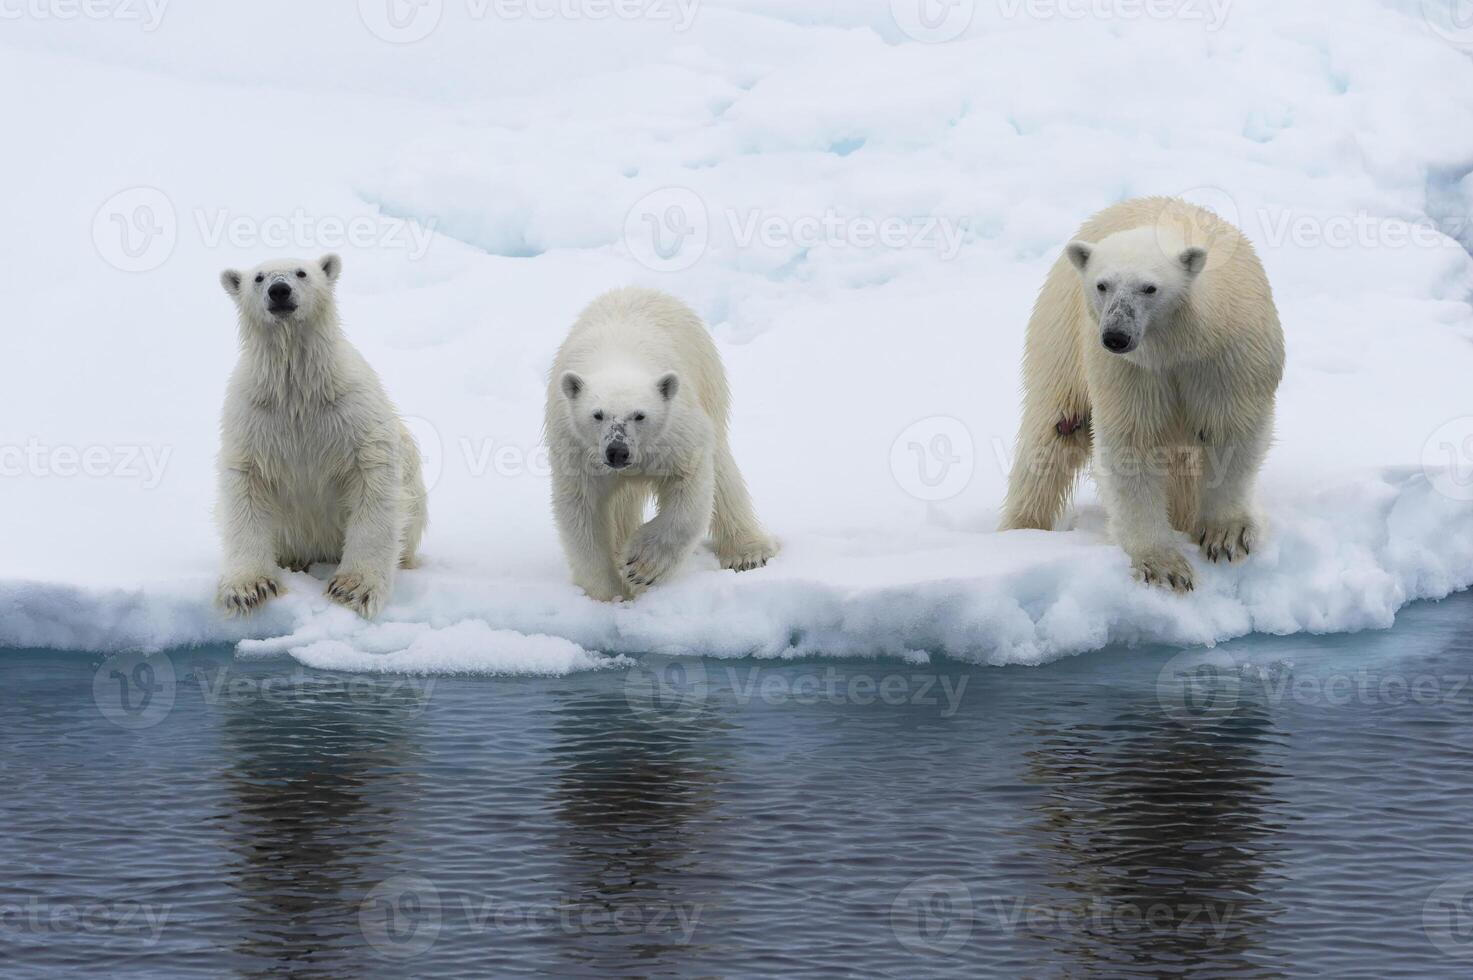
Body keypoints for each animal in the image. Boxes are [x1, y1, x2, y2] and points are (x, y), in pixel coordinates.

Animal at [215, 256, 430, 616]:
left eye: (301, 272)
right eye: (258, 278)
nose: (279, 290)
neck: (297, 390)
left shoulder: (352, 412)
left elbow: (374, 480)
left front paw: (352, 588)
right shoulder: (253, 419)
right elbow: (245, 487)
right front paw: (250, 588)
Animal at [547, 287, 783, 601]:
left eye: (640, 415)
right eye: (597, 414)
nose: (617, 451)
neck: (618, 358)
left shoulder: (675, 432)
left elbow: (690, 486)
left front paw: (640, 566)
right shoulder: (575, 447)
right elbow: (581, 510)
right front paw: (609, 593)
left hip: (708, 379)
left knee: (722, 469)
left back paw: (748, 553)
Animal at [1001, 197, 1278, 589]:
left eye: (1150, 288)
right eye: (1102, 285)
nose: (1116, 336)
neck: (1179, 343)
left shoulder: (1228, 355)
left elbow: (1232, 431)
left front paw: (1225, 536)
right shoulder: (1129, 371)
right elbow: (1132, 442)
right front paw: (1164, 565)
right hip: (1061, 334)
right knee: (1053, 433)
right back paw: (1022, 532)